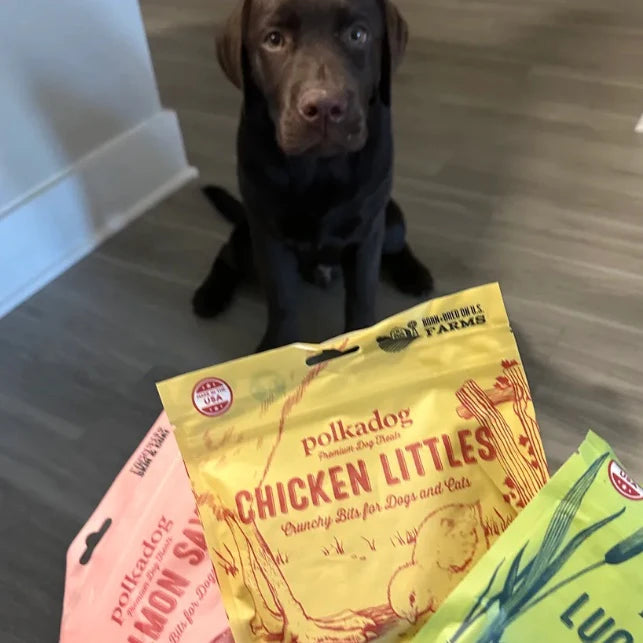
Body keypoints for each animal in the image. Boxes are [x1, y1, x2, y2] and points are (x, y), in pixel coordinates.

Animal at [194, 0, 433, 351]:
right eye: (274, 39)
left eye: (357, 34)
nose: (324, 107)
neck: (320, 168)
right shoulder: (268, 235)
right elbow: (282, 299)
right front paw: (277, 347)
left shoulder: (367, 230)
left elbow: (362, 293)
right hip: (248, 241)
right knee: (228, 252)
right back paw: (208, 296)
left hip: (390, 217)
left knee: (397, 245)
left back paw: (414, 274)